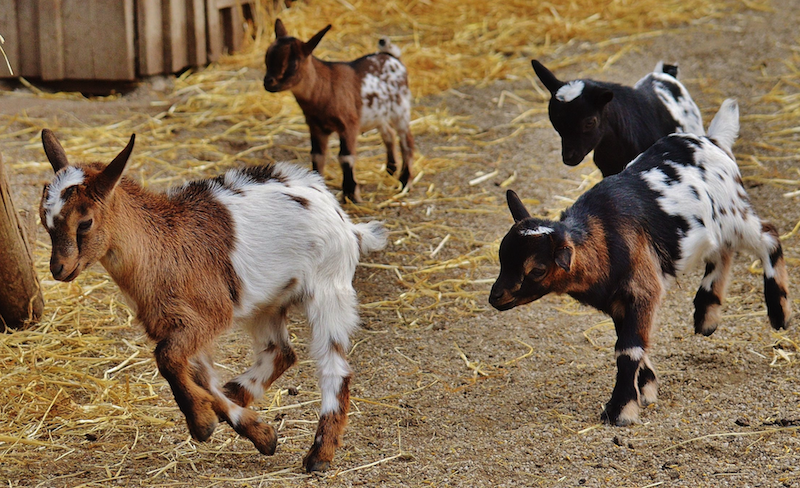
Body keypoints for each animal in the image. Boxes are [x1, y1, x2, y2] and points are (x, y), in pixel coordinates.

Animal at [38, 129, 388, 472]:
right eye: (45, 221)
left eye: (85, 222)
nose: (59, 269)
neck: (161, 245)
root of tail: (344, 220)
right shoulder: (177, 325)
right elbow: (199, 377)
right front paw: (257, 432)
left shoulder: (208, 316)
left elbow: (167, 359)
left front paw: (203, 423)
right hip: (266, 303)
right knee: (280, 352)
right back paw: (237, 393)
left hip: (329, 288)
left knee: (334, 367)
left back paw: (319, 455)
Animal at [263, 19, 414, 203]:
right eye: (267, 57)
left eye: (293, 63)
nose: (268, 82)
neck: (325, 88)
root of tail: (392, 57)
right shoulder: (316, 126)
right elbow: (317, 155)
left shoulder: (348, 125)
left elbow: (346, 157)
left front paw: (351, 195)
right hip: (378, 114)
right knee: (389, 134)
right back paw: (391, 170)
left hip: (401, 108)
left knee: (406, 141)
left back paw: (405, 181)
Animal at [489, 99, 791, 426]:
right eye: (502, 256)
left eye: (537, 269)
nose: (496, 297)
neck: (604, 235)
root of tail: (713, 140)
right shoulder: (618, 302)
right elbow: (632, 343)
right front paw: (645, 389)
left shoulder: (643, 289)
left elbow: (628, 349)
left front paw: (620, 410)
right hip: (719, 226)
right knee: (723, 252)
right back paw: (706, 316)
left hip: (734, 214)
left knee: (768, 236)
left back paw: (779, 313)